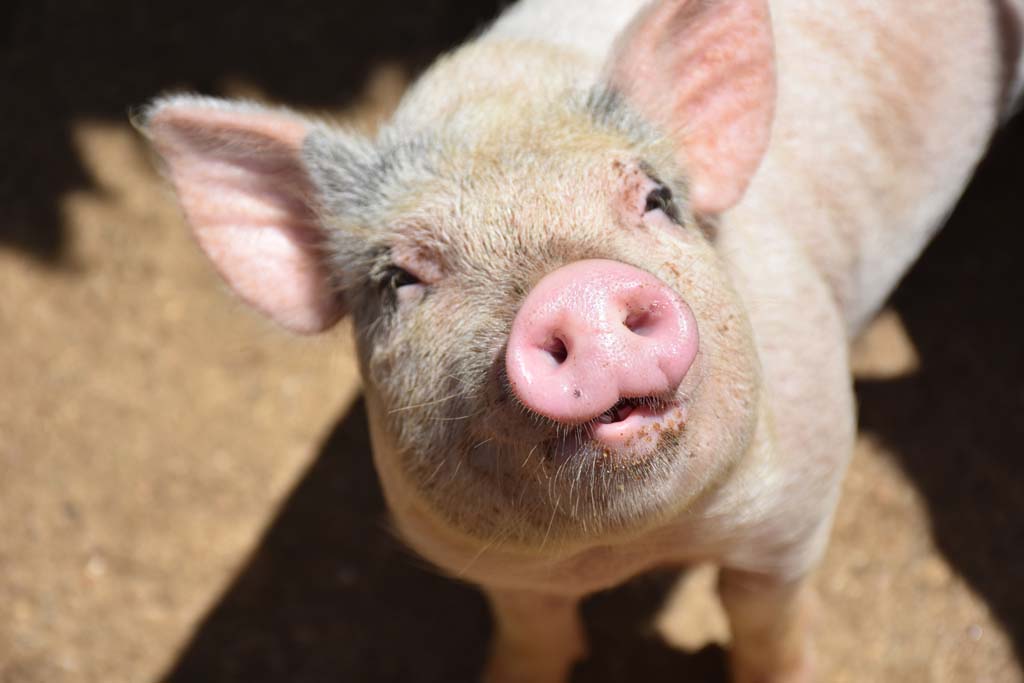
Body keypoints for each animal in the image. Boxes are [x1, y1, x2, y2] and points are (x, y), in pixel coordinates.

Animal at [137, 0, 1024, 681]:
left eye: (657, 198)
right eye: (399, 278)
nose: (577, 288)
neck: (629, 548)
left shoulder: (802, 497)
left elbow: (765, 621)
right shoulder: (479, 556)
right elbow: (533, 627)